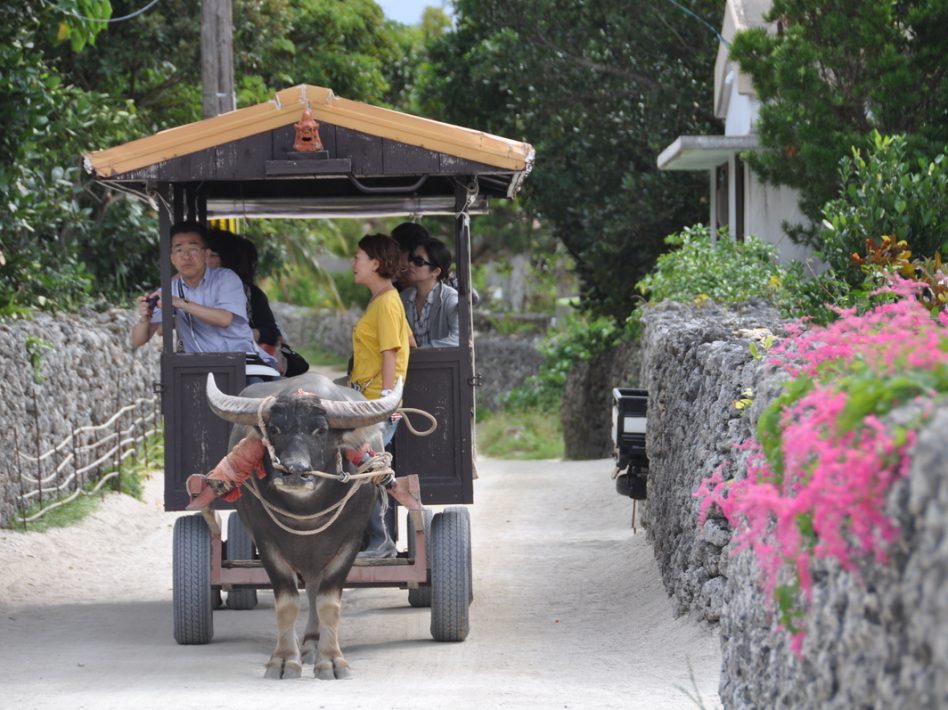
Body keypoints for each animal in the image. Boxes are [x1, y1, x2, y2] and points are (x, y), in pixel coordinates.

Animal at [206, 370, 402, 680]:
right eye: (274, 429)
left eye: (320, 430)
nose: (294, 471)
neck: (308, 511)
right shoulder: (266, 541)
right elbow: (287, 603)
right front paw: (285, 660)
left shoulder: (349, 540)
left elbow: (328, 602)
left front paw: (331, 660)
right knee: (308, 587)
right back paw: (306, 644)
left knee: (314, 589)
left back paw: (313, 643)